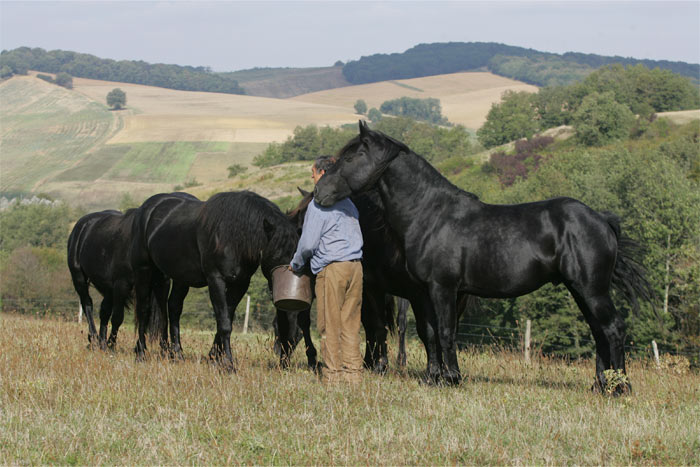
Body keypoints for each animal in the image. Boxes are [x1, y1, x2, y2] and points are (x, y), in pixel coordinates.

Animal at [67, 210, 165, 350]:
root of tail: (82, 224)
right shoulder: (121, 285)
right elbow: (118, 317)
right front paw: (111, 345)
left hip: (109, 289)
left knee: (104, 311)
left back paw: (101, 342)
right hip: (79, 277)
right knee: (87, 304)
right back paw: (94, 338)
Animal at [129, 192, 308, 372]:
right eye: (278, 255)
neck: (233, 237)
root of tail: (147, 208)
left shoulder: (240, 285)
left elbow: (225, 318)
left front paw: (214, 358)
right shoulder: (216, 280)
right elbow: (225, 323)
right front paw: (228, 364)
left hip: (177, 278)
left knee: (171, 309)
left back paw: (174, 354)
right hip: (145, 271)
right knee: (144, 310)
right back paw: (141, 353)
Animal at [314, 121, 652, 394]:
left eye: (350, 157)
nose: (320, 192)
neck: (431, 214)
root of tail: (601, 219)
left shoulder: (443, 288)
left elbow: (446, 332)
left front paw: (451, 379)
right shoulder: (426, 292)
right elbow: (432, 333)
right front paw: (436, 378)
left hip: (592, 289)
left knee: (613, 329)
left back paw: (620, 388)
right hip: (580, 290)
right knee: (599, 332)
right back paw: (600, 384)